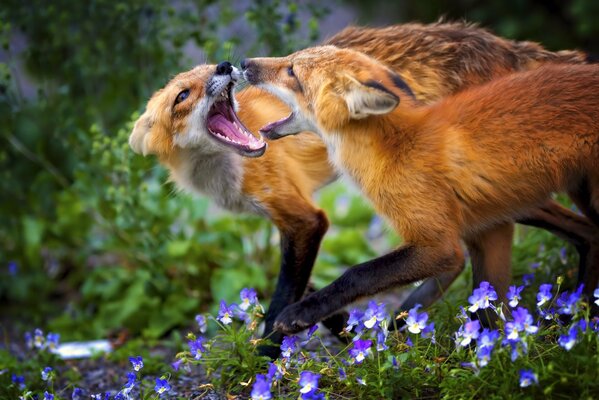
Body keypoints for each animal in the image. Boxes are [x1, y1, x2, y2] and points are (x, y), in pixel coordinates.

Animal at [131, 23, 599, 352]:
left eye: (207, 74)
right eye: (182, 94)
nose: (228, 66)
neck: (221, 171)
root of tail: (500, 43)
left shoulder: (305, 220)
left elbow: (287, 296)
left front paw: (265, 356)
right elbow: (302, 285)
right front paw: (343, 331)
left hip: (502, 190)